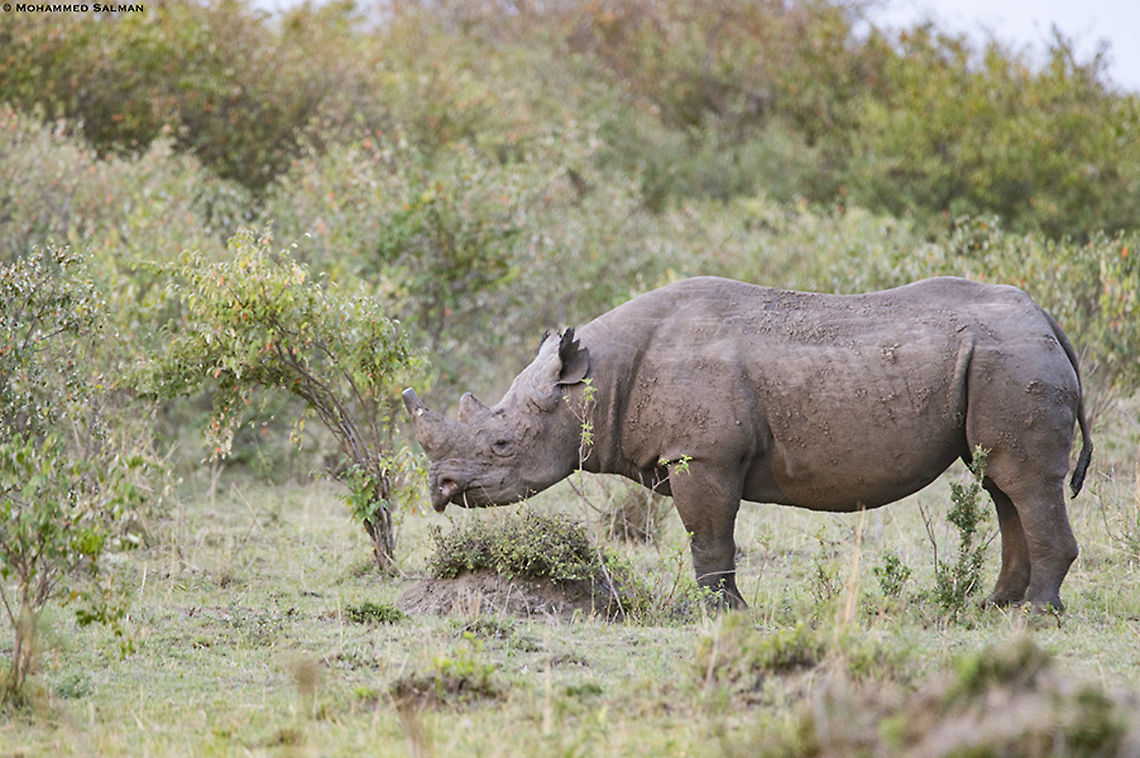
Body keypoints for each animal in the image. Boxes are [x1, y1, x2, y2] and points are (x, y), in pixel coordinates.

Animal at [403, 276, 1092, 611]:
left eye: (500, 443)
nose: (440, 490)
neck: (595, 383)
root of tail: (1044, 317)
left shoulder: (702, 454)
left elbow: (710, 537)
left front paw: (721, 613)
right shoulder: (695, 453)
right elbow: (711, 538)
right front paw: (726, 609)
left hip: (1011, 359)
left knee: (1022, 481)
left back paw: (1037, 613)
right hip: (1003, 359)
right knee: (1001, 484)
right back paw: (994, 607)